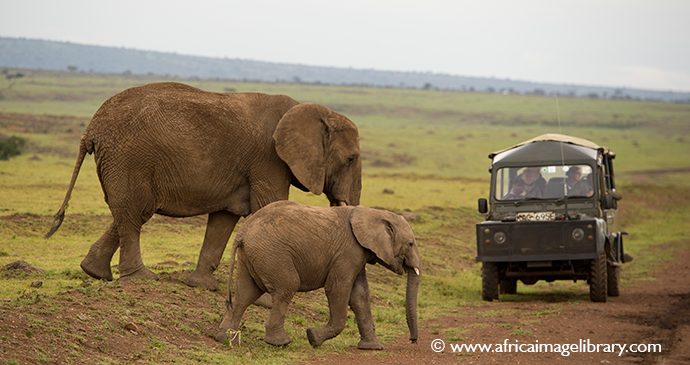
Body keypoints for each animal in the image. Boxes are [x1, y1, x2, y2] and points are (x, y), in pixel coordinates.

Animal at [45, 82, 362, 290]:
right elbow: (266, 206)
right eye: (351, 159)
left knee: (126, 212)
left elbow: (224, 218)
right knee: (136, 213)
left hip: (120, 162)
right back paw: (141, 279)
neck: (310, 109)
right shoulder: (269, 160)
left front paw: (201, 286)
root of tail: (91, 128)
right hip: (130, 159)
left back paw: (94, 272)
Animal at [215, 200, 420, 348]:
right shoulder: (347, 253)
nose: (413, 341)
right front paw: (313, 338)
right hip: (272, 254)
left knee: (245, 294)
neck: (372, 212)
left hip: (251, 256)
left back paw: (223, 338)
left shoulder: (358, 254)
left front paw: (372, 348)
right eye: (410, 244)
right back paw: (280, 343)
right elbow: (337, 289)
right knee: (286, 288)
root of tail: (242, 233)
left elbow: (360, 295)